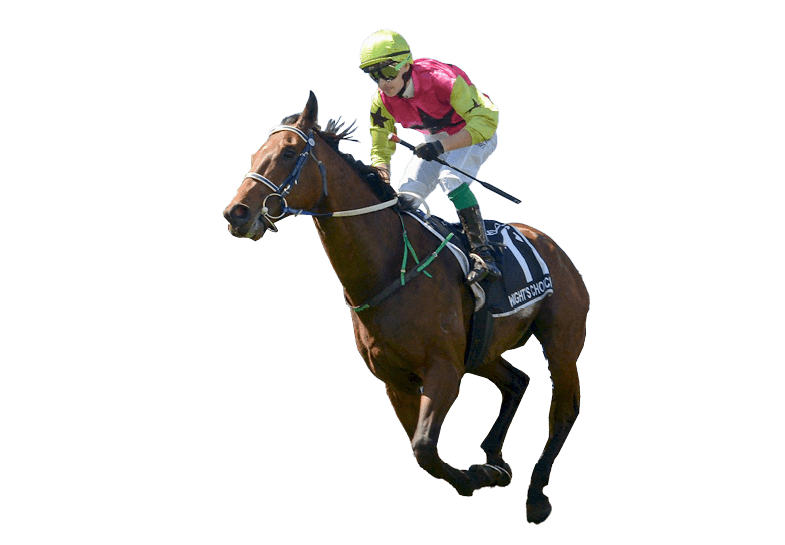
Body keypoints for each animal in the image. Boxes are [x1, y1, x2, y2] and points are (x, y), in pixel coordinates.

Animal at [222, 91, 588, 520]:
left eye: (289, 152)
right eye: (255, 154)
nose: (237, 213)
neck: (389, 268)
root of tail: (551, 244)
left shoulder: (443, 370)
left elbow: (425, 447)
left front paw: (476, 477)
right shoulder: (396, 380)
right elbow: (422, 451)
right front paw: (484, 473)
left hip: (561, 343)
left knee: (563, 410)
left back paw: (536, 493)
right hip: (482, 351)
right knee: (517, 382)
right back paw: (495, 456)